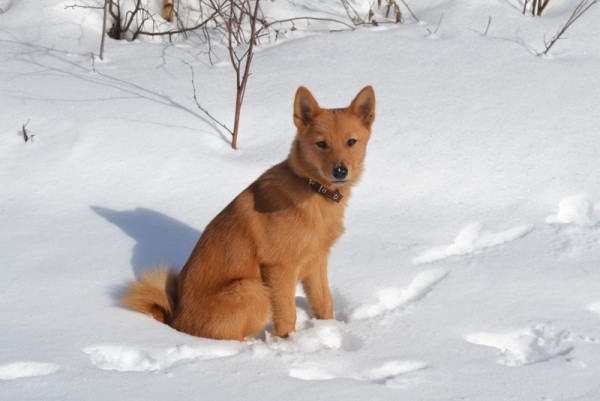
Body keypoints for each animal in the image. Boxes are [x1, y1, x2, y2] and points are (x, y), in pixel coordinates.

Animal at [122, 86, 376, 340]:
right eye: (321, 144)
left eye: (351, 142)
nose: (340, 171)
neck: (311, 188)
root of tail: (174, 321)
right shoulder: (279, 269)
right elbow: (287, 315)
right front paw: (289, 342)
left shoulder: (316, 262)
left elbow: (324, 301)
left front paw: (330, 328)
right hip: (254, 289)